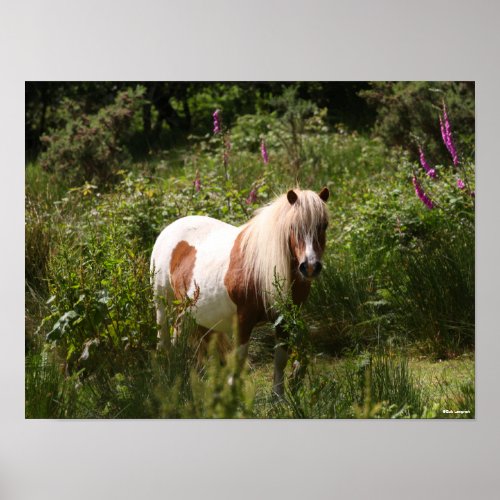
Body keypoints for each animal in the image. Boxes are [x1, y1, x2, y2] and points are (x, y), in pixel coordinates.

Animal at [150, 186, 330, 396]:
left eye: (324, 225)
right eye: (293, 226)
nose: (310, 267)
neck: (262, 266)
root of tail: (169, 229)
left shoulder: (284, 319)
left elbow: (280, 359)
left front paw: (279, 397)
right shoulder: (244, 319)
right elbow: (239, 358)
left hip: (191, 312)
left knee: (182, 336)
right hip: (162, 303)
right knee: (164, 339)